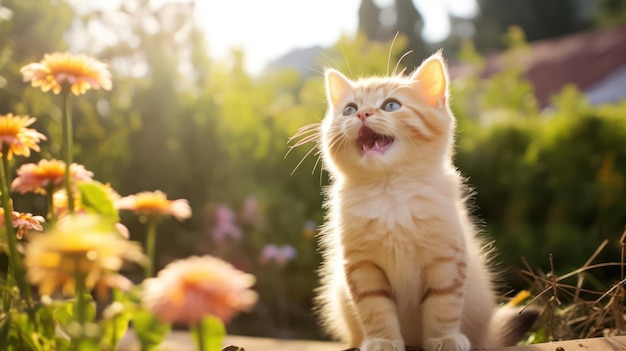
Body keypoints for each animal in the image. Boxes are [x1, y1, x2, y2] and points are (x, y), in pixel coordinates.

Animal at [308, 53, 536, 351]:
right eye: (349, 109)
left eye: (391, 105)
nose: (362, 114)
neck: (391, 191)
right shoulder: (362, 266)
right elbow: (374, 308)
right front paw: (382, 340)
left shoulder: (446, 260)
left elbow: (443, 305)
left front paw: (444, 338)